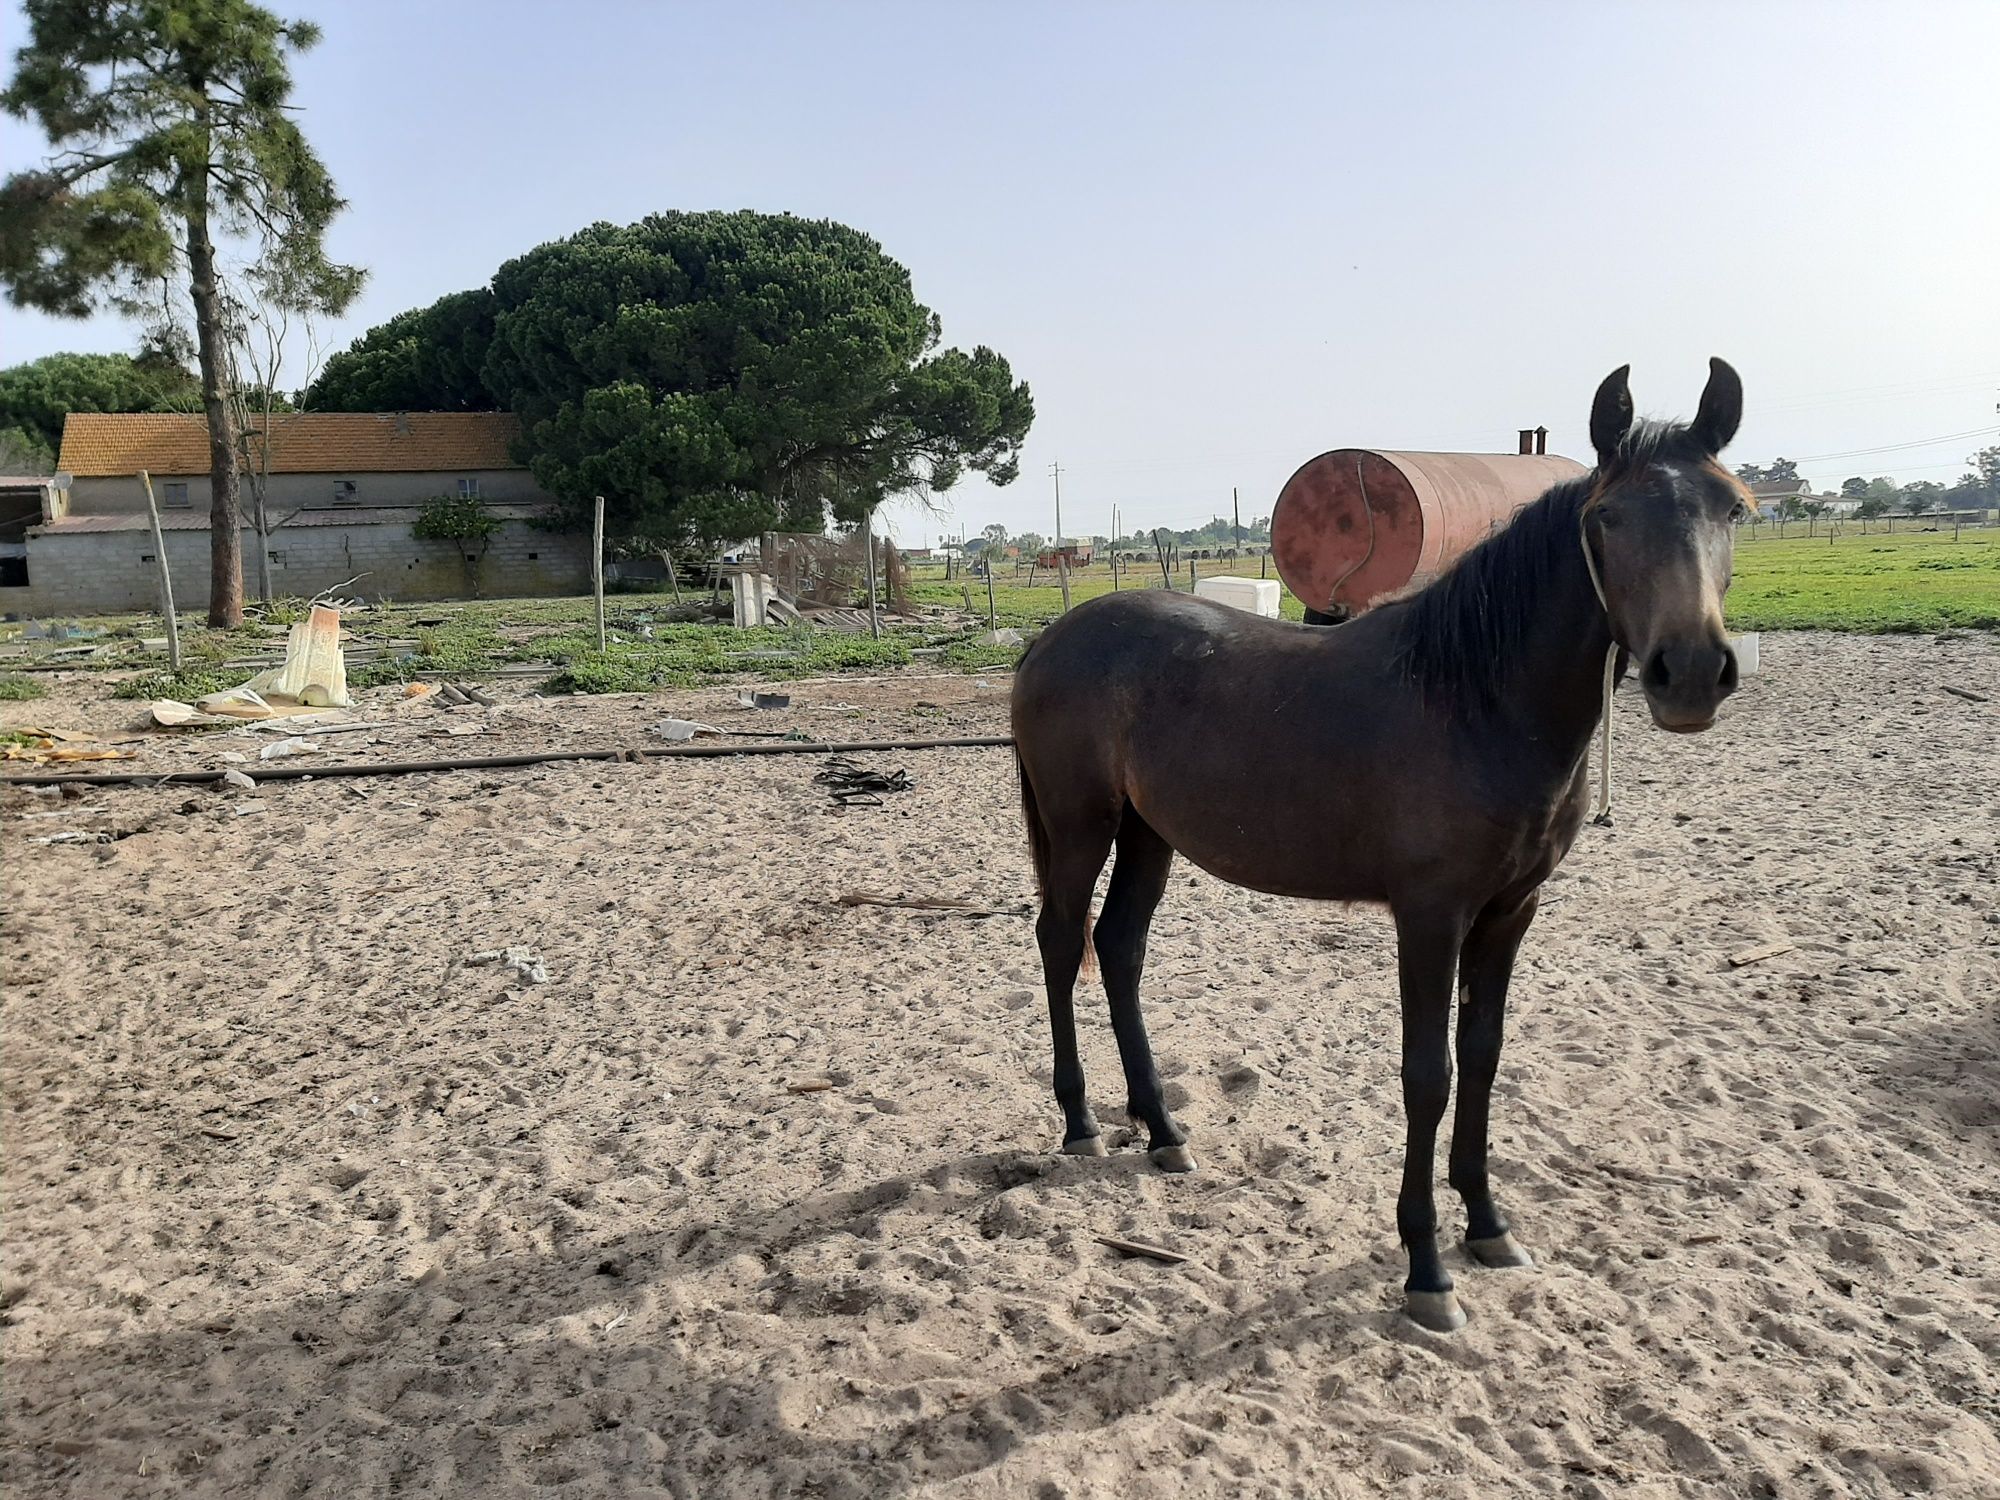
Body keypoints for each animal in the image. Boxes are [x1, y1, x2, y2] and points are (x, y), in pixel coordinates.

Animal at [1016, 358, 1752, 1336]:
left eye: (1732, 508)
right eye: (1607, 518)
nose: (1693, 673)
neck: (1478, 700)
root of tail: (1051, 640)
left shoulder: (1510, 912)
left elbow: (1484, 1058)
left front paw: (1488, 1226)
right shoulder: (1430, 917)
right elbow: (1428, 1075)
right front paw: (1427, 1269)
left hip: (1147, 835)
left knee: (1120, 947)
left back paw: (1163, 1133)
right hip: (1081, 824)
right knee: (1064, 943)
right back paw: (1083, 1123)